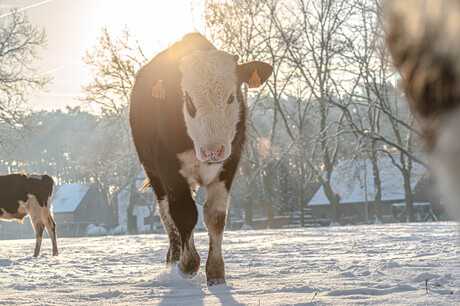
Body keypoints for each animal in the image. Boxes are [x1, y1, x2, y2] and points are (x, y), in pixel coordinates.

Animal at [128, 33, 274, 284]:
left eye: (232, 96)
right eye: (187, 100)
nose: (212, 151)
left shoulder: (229, 163)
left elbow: (215, 217)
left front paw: (216, 272)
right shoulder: (169, 169)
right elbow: (185, 213)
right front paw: (187, 265)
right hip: (155, 175)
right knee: (166, 214)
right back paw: (173, 261)